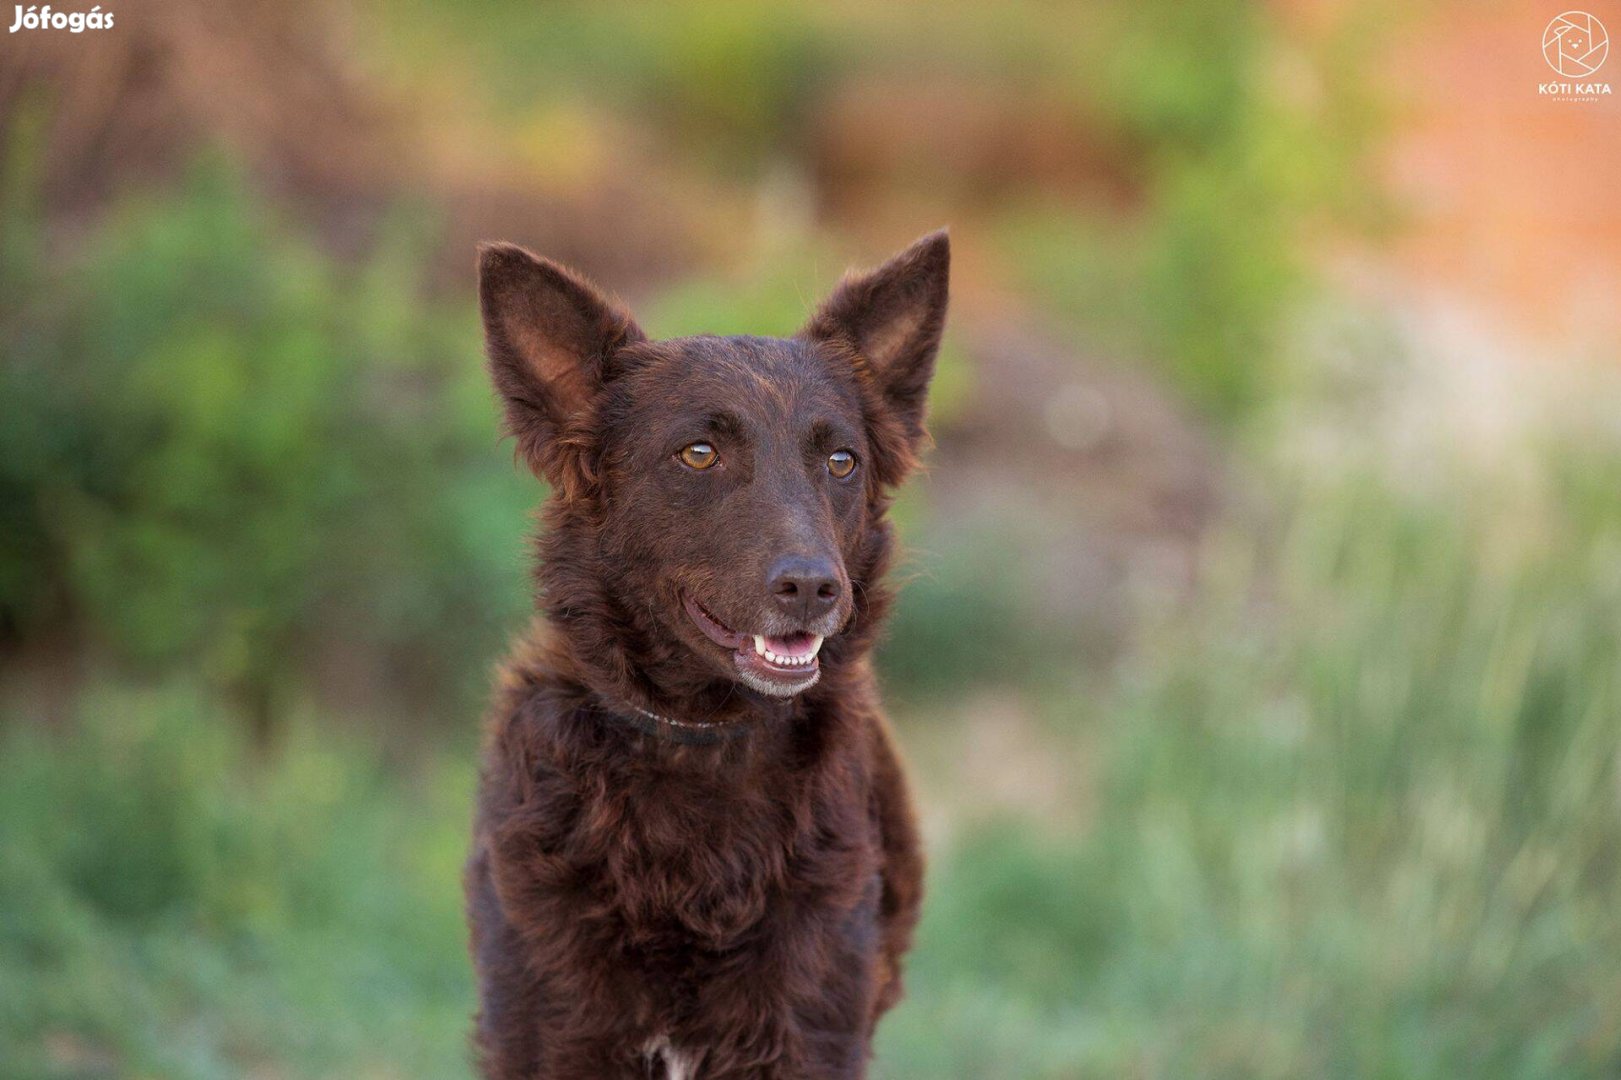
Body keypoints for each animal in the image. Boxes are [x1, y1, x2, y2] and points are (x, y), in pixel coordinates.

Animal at [463, 228, 946, 1076]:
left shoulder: (810, 1030)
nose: (813, 587)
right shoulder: (549, 1032)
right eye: (697, 454)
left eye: (841, 461)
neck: (698, 739)